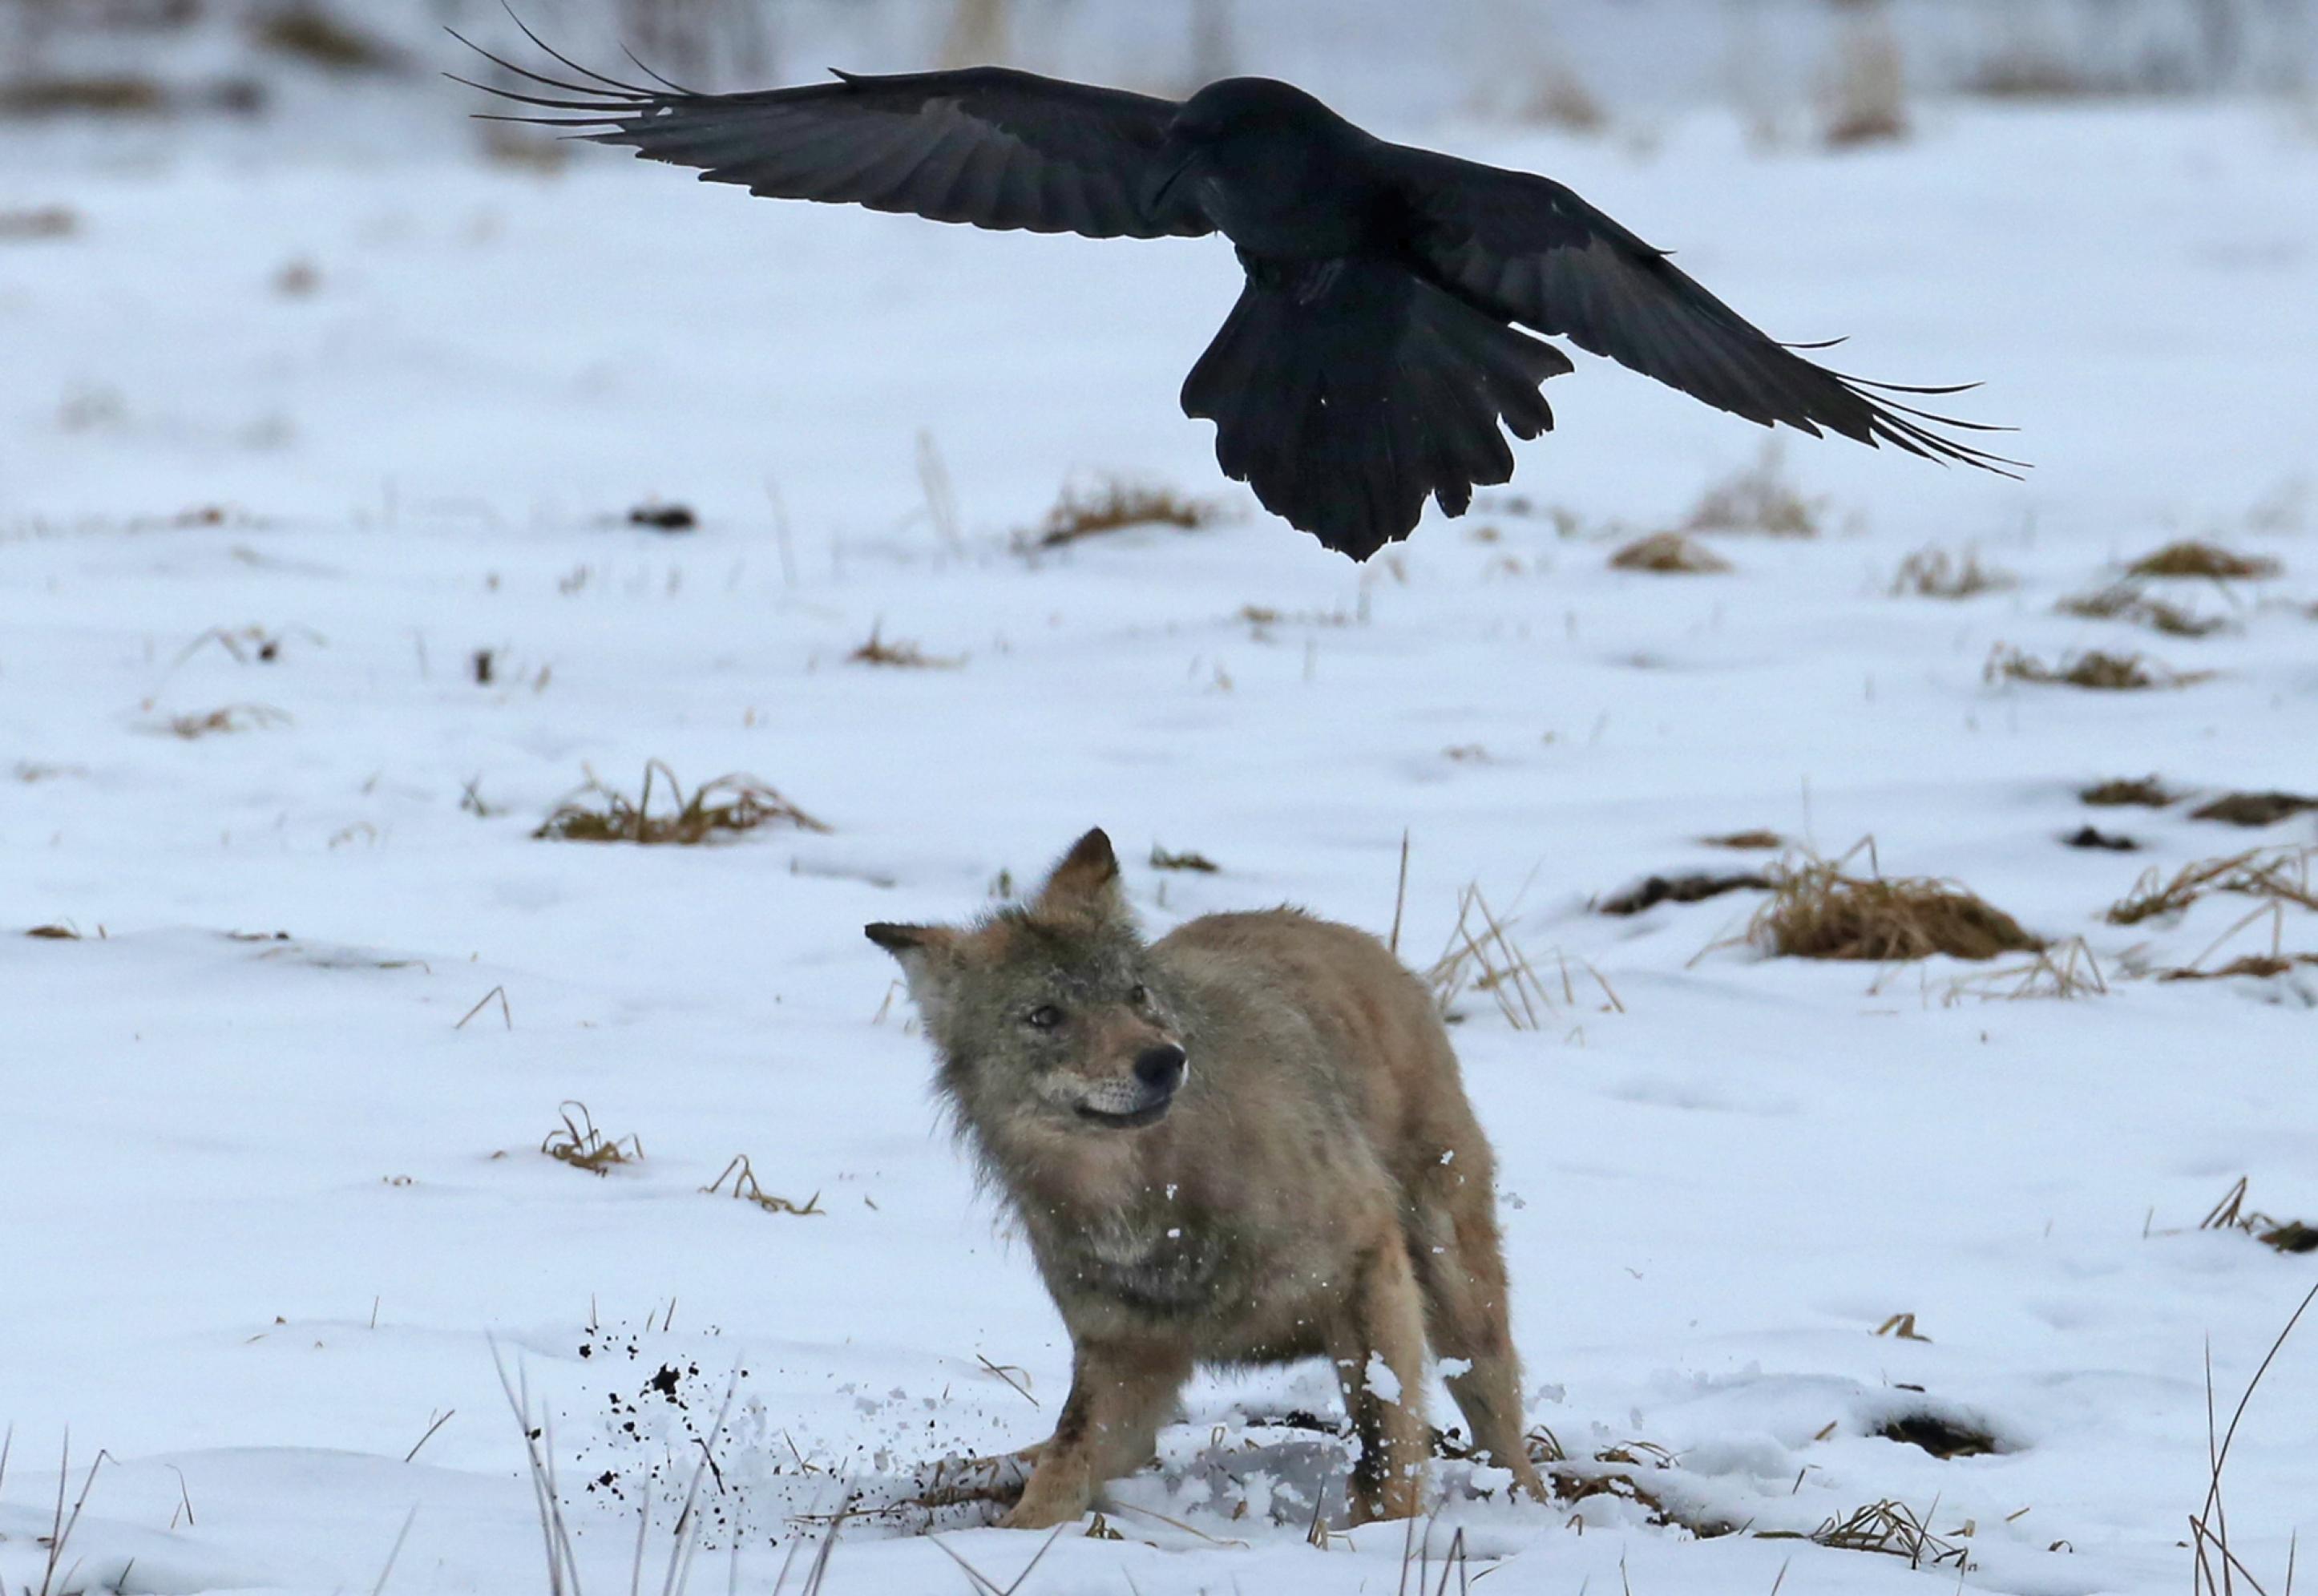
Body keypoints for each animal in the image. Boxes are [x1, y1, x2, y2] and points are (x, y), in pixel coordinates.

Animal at [866, 830, 1539, 1530]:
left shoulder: (1367, 1270)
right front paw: (1013, 1534)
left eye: (1135, 993)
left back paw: (1528, 1505)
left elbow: (1384, 1446)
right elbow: (1065, 1461)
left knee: (1503, 1428)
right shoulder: (1123, 1353)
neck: (1155, 1200)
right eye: (1045, 1015)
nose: (1163, 1060)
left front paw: (1379, 1534)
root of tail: (1345, 934)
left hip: (1459, 1292)